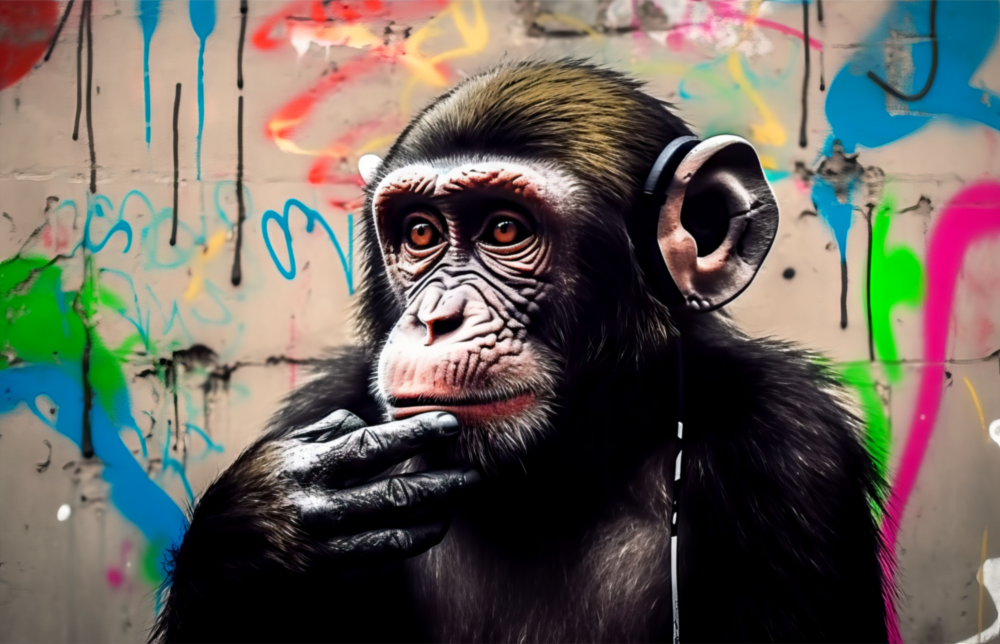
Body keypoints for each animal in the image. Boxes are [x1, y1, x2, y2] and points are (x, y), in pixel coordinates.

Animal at [150, 59, 894, 643]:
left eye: (505, 229)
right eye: (420, 233)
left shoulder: (790, 450)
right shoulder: (325, 406)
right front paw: (261, 532)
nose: (436, 317)